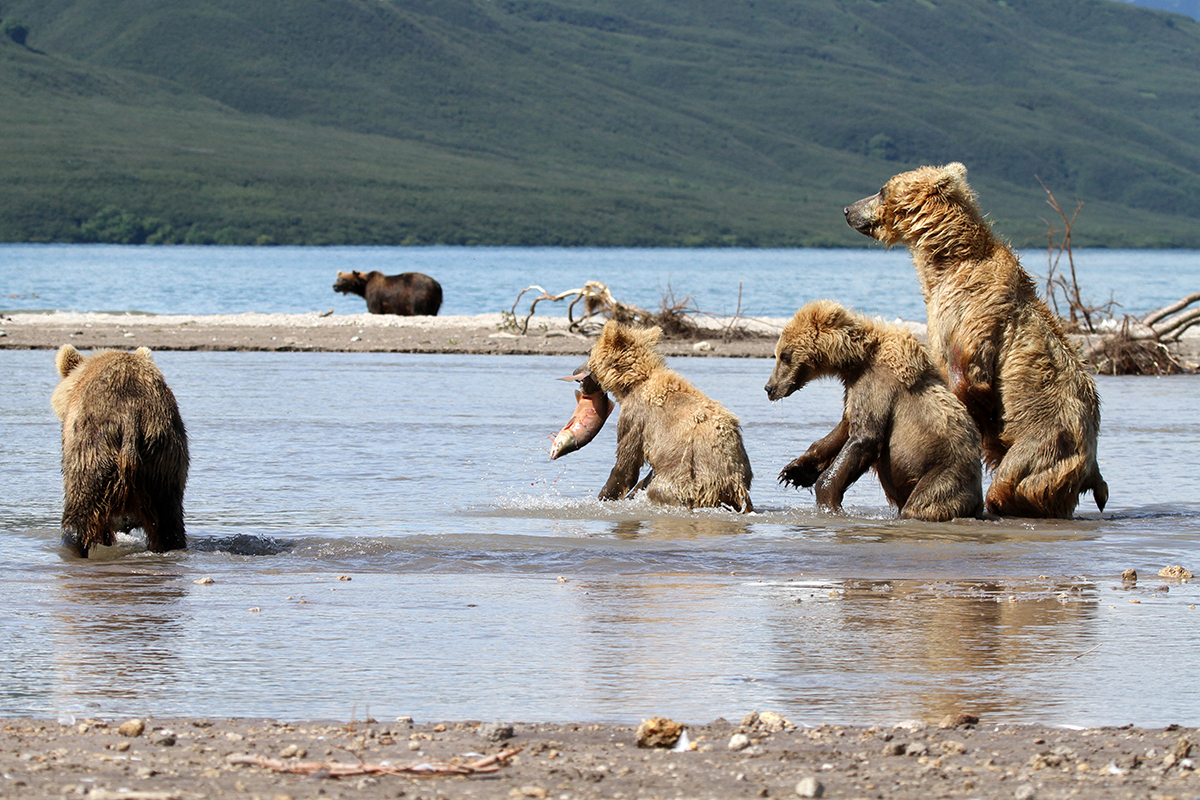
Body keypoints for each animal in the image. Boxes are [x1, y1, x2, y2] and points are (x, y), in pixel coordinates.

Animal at [580, 321, 748, 513]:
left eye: (589, 354)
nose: (578, 375)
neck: (634, 382)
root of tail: (734, 487)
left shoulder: (636, 417)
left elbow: (626, 465)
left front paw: (603, 498)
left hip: (691, 482)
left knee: (659, 489)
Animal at [768, 299, 984, 525]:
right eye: (779, 353)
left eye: (784, 355)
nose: (769, 387)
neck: (856, 360)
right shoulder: (854, 388)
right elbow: (843, 429)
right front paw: (794, 472)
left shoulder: (876, 385)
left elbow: (865, 437)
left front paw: (828, 500)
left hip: (943, 472)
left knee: (924, 502)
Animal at [844, 160, 1104, 520]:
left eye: (882, 189)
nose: (847, 209)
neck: (946, 261)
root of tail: (1091, 464)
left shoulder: (968, 313)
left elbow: (968, 378)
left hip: (1044, 445)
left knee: (1012, 481)